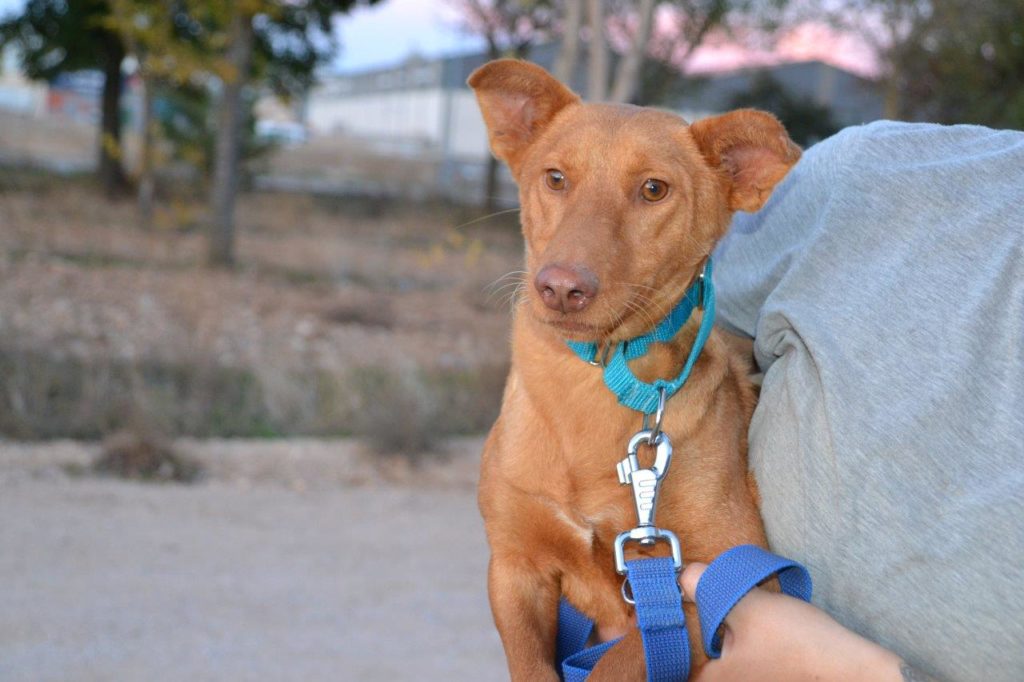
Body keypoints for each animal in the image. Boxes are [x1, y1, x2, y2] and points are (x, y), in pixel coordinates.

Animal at [468, 59, 798, 679]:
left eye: (653, 190)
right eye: (554, 178)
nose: (560, 288)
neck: (588, 391)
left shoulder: (711, 589)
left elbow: (617, 663)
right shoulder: (514, 567)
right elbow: (531, 666)